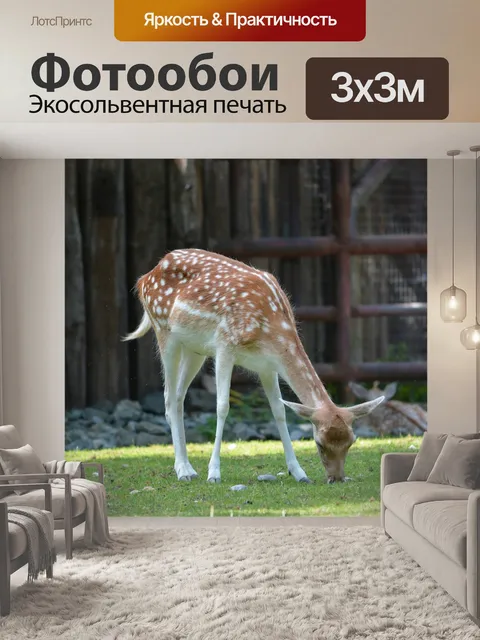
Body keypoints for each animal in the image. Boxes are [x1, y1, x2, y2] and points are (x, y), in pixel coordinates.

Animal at [123, 249, 385, 484]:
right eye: (319, 443)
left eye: (351, 441)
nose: (337, 478)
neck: (270, 331)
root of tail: (145, 276)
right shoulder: (224, 345)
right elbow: (222, 407)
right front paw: (214, 473)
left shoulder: (267, 366)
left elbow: (279, 411)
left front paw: (299, 472)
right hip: (164, 331)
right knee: (168, 398)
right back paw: (183, 470)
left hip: (194, 349)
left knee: (178, 398)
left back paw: (187, 467)